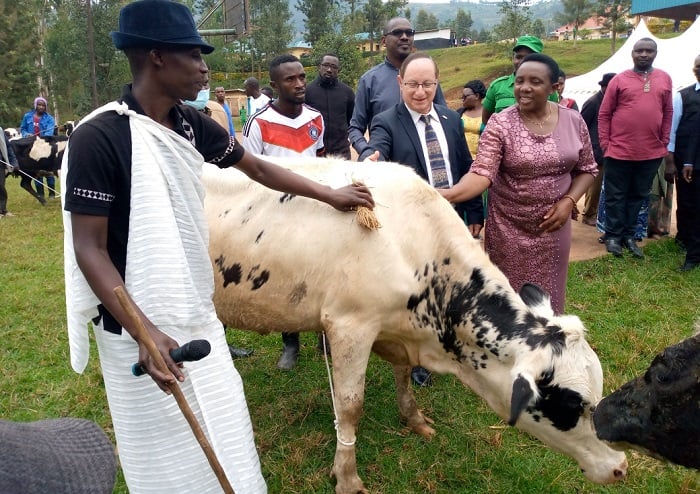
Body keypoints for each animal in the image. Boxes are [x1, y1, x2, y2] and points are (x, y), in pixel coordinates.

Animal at [200, 159, 628, 494]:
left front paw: (415, 419)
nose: (620, 466)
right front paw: (347, 477)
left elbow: (403, 373)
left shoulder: (395, 331)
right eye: (574, 404)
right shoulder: (350, 325)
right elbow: (350, 407)